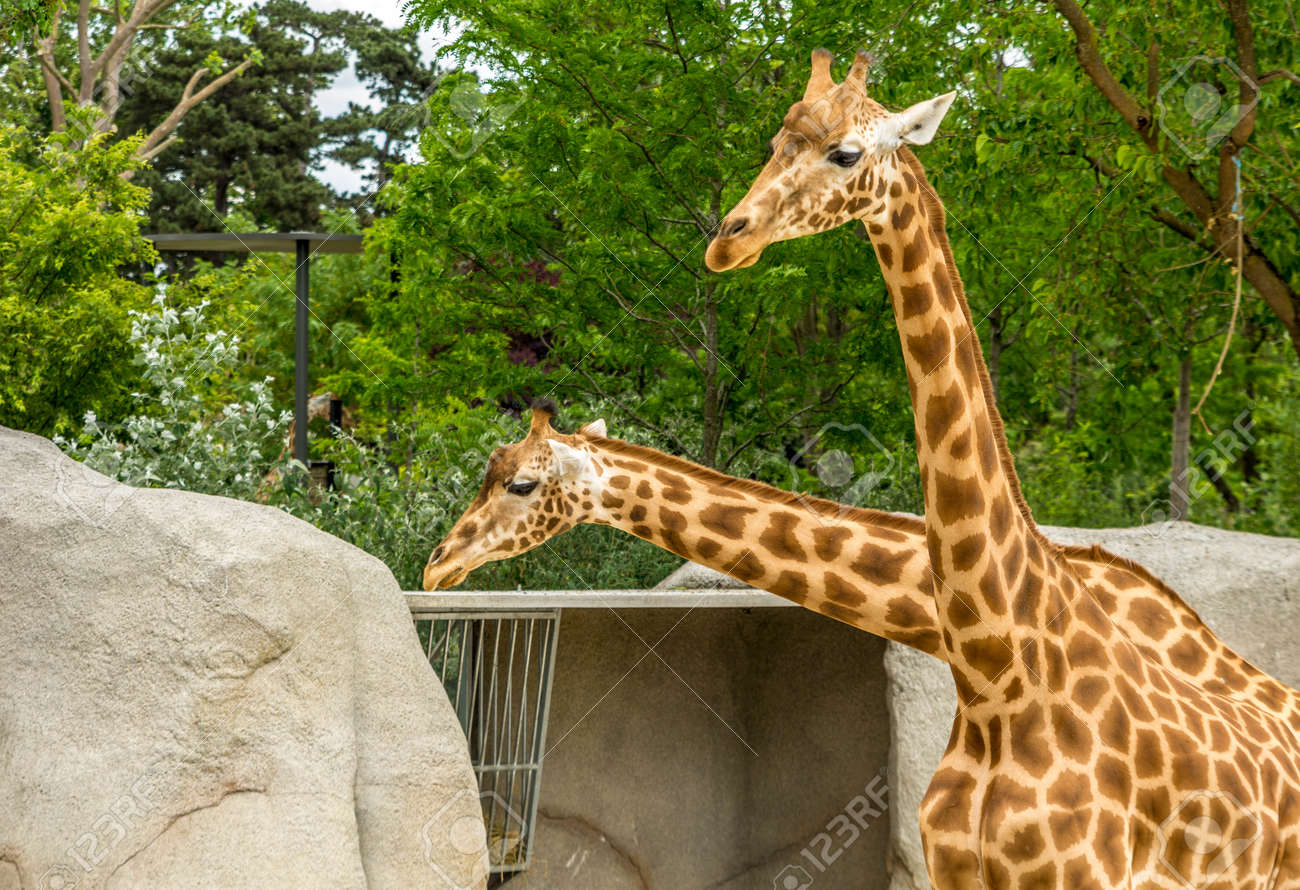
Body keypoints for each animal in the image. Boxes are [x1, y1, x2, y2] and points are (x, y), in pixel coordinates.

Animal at [704, 50, 1300, 889]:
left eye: (846, 154)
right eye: (772, 142)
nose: (730, 240)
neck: (1002, 674)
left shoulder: (1085, 873)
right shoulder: (956, 869)